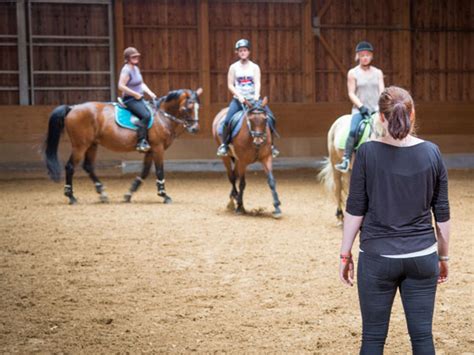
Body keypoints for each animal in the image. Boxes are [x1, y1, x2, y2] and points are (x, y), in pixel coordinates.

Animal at [42, 88, 202, 206]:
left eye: (197, 107)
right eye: (187, 107)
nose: (194, 128)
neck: (162, 116)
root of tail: (72, 108)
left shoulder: (150, 150)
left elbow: (144, 172)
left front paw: (129, 194)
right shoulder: (158, 148)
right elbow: (159, 171)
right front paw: (164, 195)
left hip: (92, 145)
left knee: (88, 166)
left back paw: (102, 193)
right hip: (80, 145)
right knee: (70, 167)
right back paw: (71, 196)